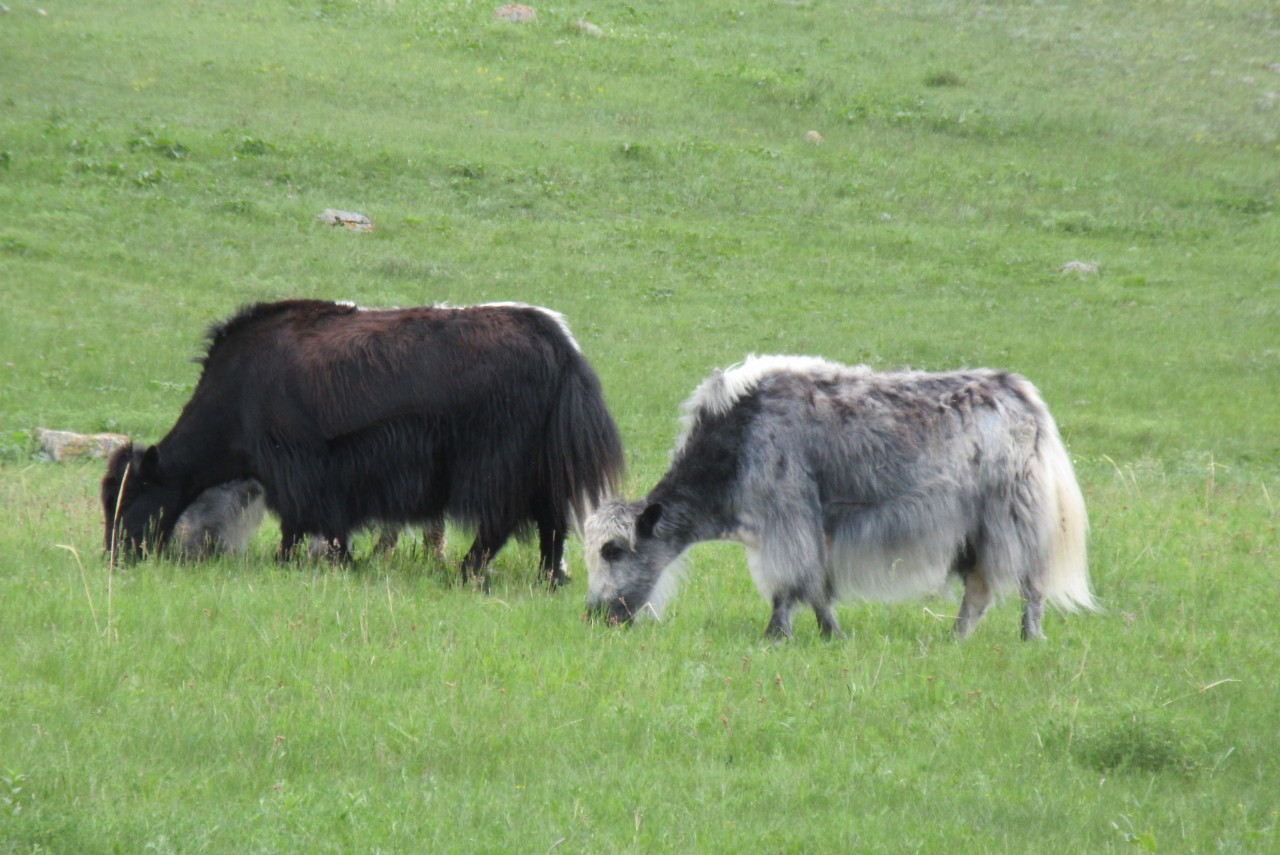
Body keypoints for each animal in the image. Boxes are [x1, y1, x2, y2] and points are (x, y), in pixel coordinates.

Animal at [102, 299, 625, 587]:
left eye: (132, 495)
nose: (113, 555)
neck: (235, 395)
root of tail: (558, 343)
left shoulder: (297, 467)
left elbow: (303, 523)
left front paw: (312, 562)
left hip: (499, 462)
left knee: (501, 521)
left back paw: (466, 573)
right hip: (542, 466)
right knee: (551, 524)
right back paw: (549, 579)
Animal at [584, 355, 1094, 639]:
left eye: (613, 550)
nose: (595, 614)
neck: (737, 438)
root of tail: (1022, 394)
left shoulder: (786, 518)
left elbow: (790, 583)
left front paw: (776, 635)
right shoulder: (809, 530)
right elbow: (815, 585)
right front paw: (832, 633)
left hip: (1012, 515)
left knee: (1029, 581)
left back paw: (1030, 637)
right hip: (973, 530)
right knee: (978, 588)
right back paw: (955, 638)